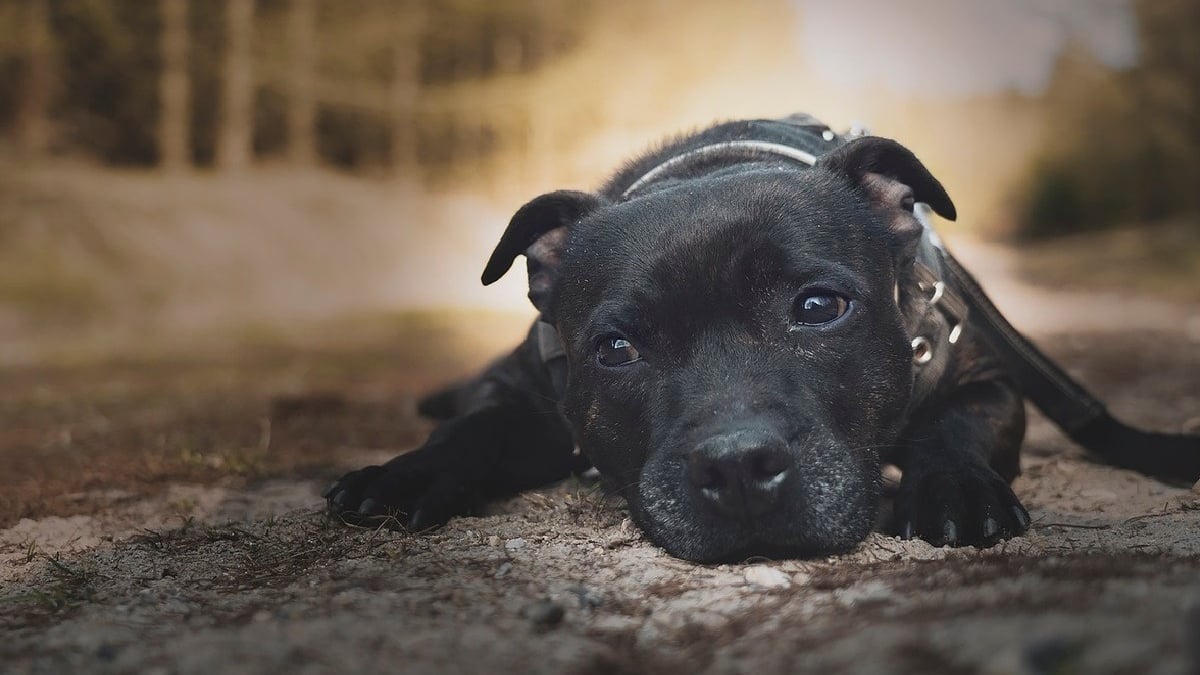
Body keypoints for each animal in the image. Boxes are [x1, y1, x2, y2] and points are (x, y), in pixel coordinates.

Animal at [324, 112, 1200, 559]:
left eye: (819, 307)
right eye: (617, 349)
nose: (739, 466)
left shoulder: (982, 378)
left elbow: (954, 426)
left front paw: (953, 486)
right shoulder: (533, 393)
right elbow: (476, 427)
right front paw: (403, 474)